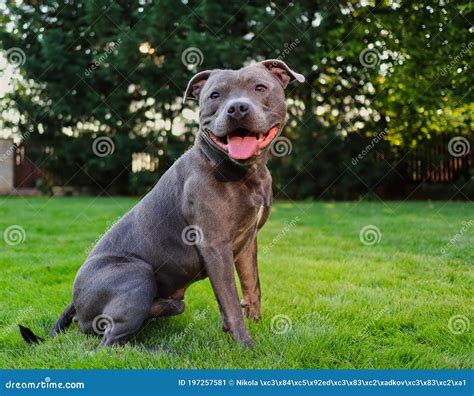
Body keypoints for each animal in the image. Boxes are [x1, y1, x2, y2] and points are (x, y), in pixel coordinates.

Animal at [20, 58, 304, 346]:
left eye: (260, 87)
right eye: (215, 95)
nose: (236, 108)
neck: (242, 171)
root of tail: (75, 301)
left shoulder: (248, 241)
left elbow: (251, 284)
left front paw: (255, 323)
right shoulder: (215, 245)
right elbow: (230, 299)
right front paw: (245, 345)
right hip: (137, 274)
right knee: (108, 343)